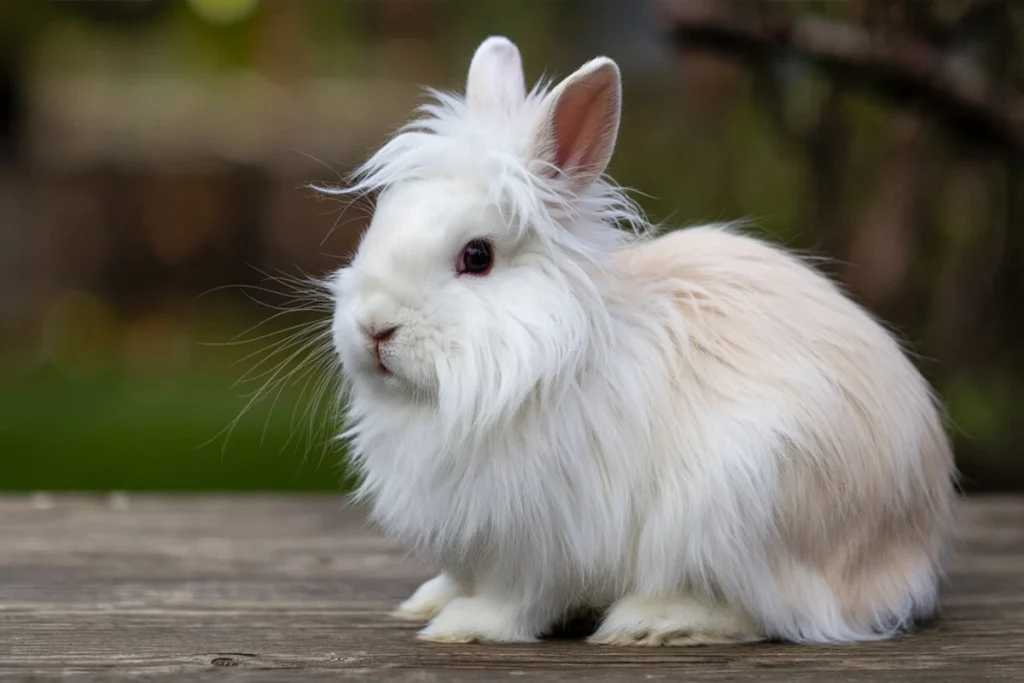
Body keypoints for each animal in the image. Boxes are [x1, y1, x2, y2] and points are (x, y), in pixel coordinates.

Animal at [323, 36, 954, 647]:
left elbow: (517, 599)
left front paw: (465, 625)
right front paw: (428, 601)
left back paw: (655, 621)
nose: (374, 328)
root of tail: (910, 557)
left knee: (771, 613)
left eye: (476, 257)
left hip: (746, 511)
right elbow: (461, 575)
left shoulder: (541, 540)